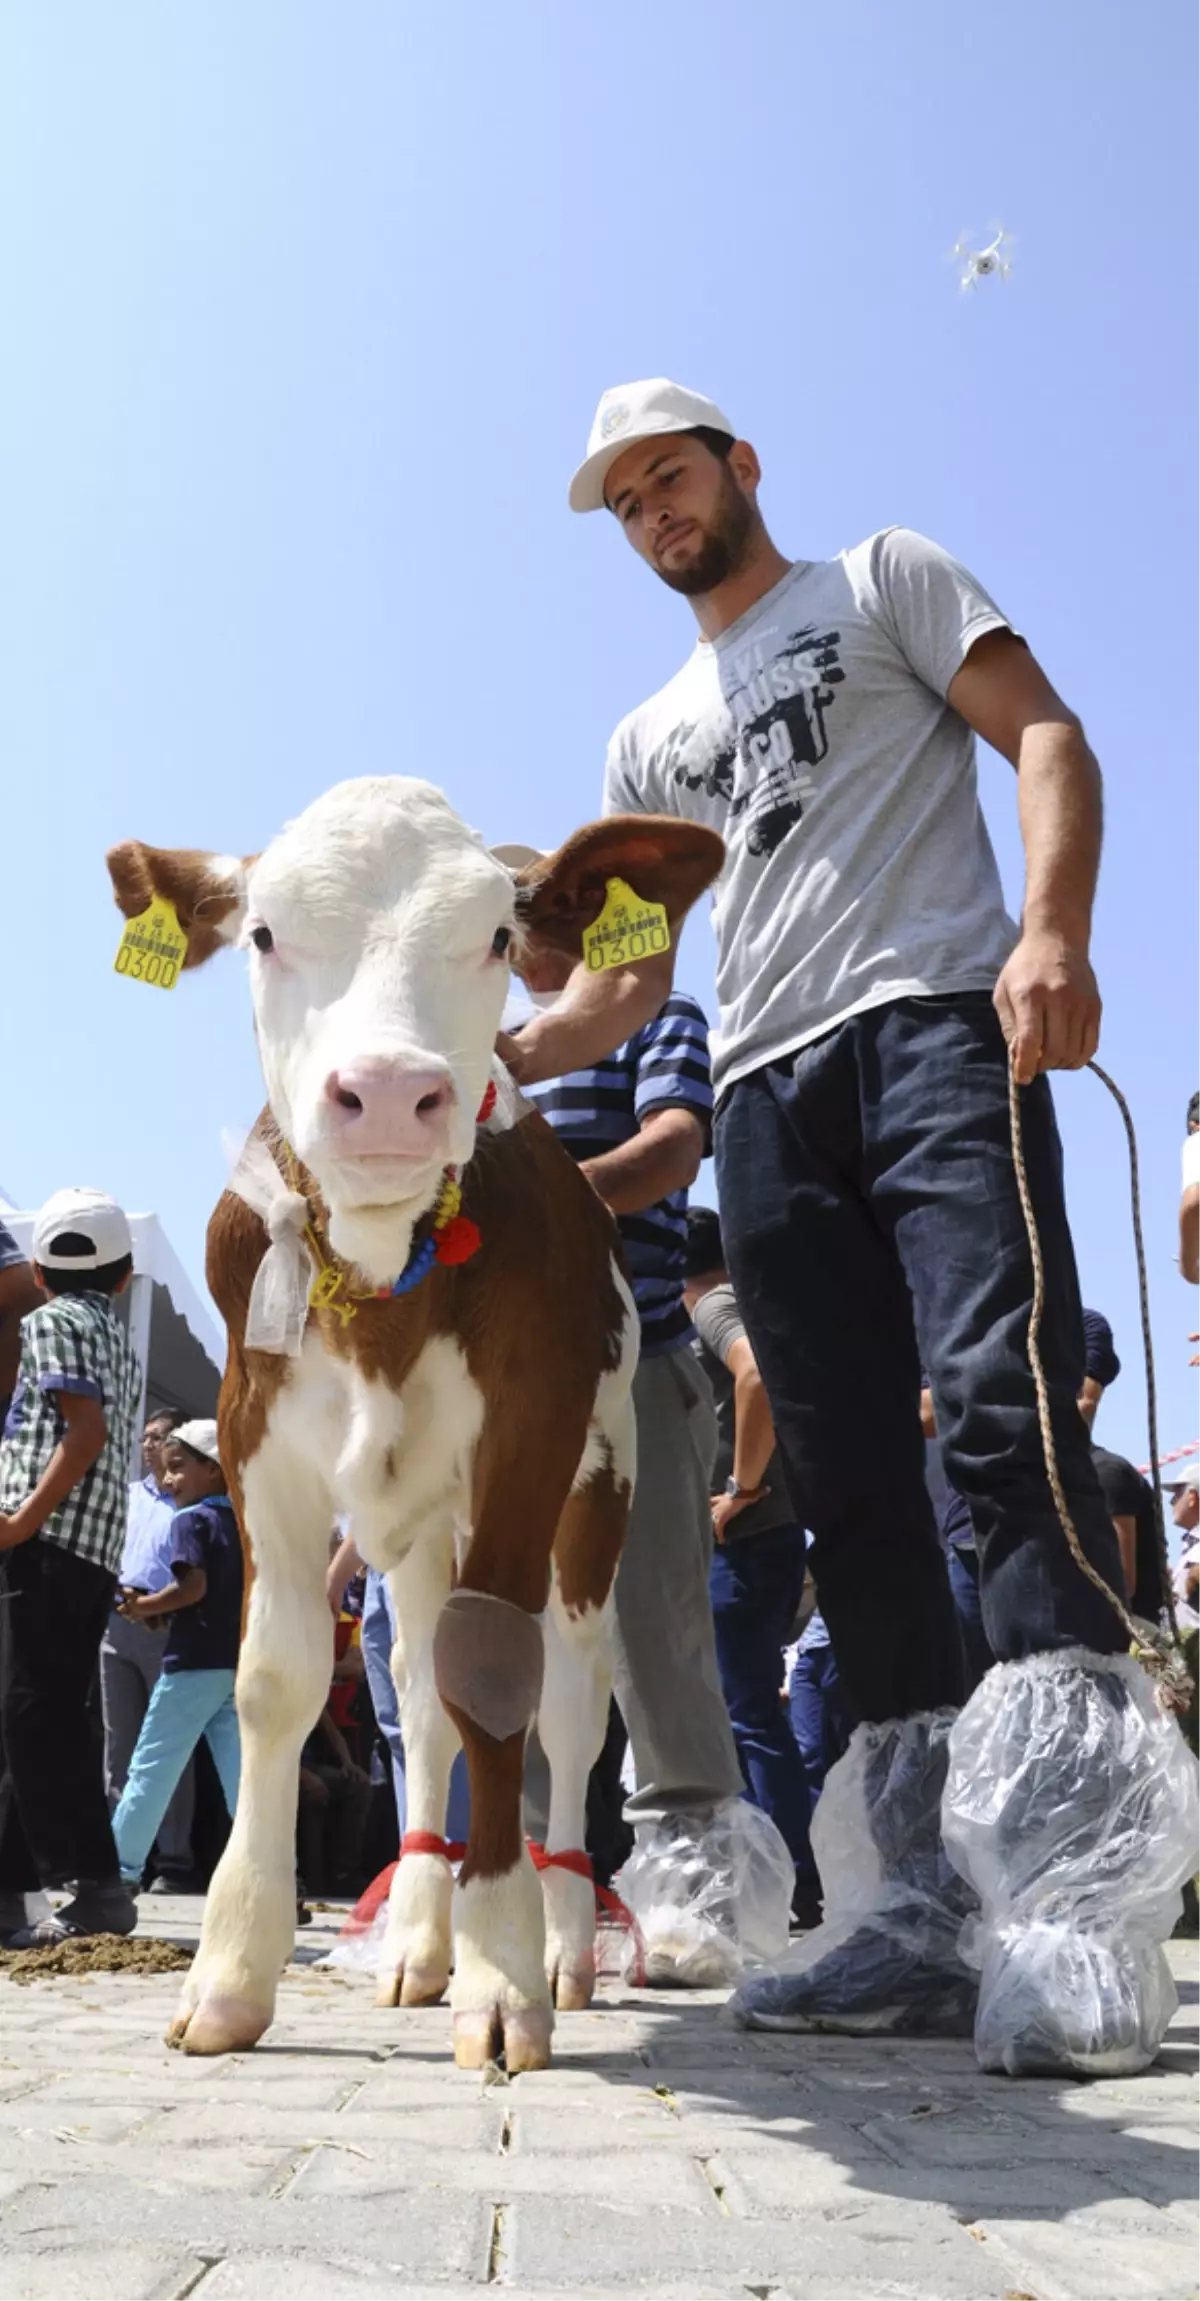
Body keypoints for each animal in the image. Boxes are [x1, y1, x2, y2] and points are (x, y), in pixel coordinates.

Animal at [107, 782, 717, 2080]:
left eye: (497, 936)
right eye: (266, 933)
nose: (389, 1091)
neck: (384, 1268)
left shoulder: (533, 1430)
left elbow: (495, 1674)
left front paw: (503, 1975)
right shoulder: (253, 1429)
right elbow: (282, 1680)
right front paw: (233, 1973)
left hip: (600, 1491)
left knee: (572, 1704)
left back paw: (565, 1944)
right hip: (417, 1520)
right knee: (416, 1694)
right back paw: (420, 1945)